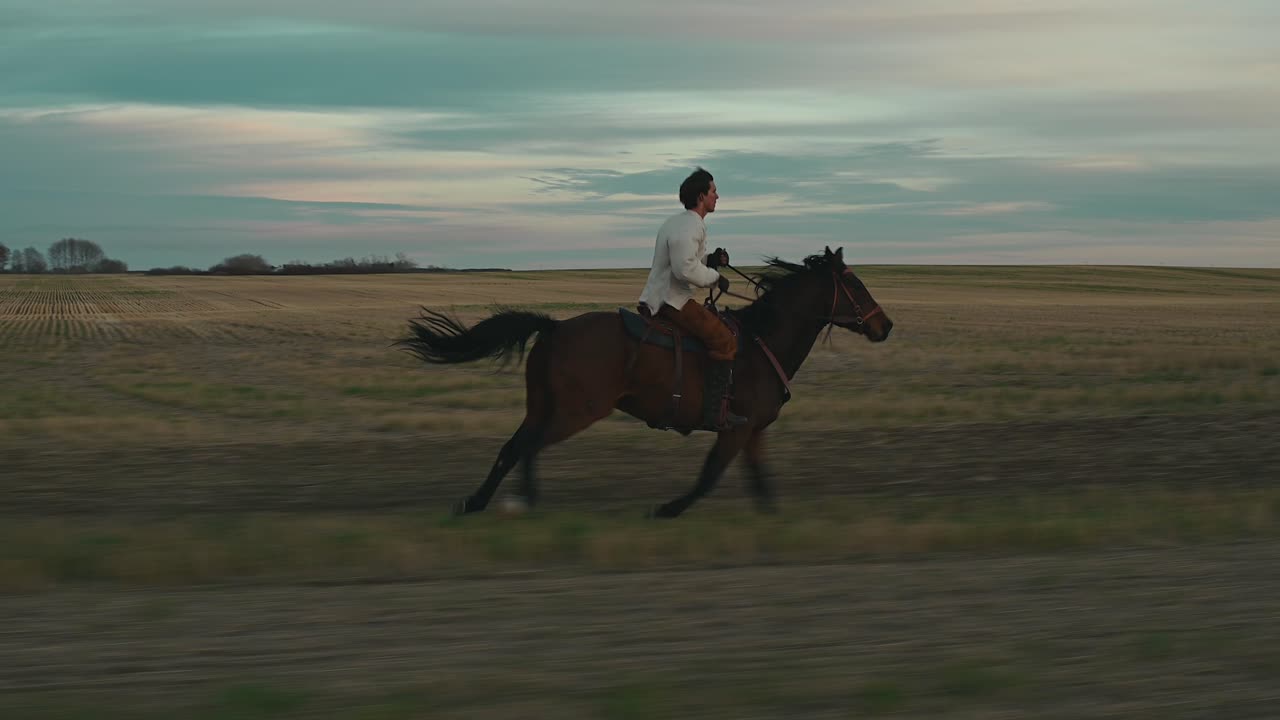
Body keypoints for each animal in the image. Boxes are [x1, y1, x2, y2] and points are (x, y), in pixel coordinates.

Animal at [396, 245, 890, 515]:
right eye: (855, 285)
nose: (885, 326)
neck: (761, 342)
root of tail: (554, 328)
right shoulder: (737, 429)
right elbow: (709, 476)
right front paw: (667, 509)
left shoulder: (752, 432)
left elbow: (761, 483)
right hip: (575, 412)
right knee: (527, 449)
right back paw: (518, 503)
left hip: (541, 407)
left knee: (512, 448)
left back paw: (480, 503)